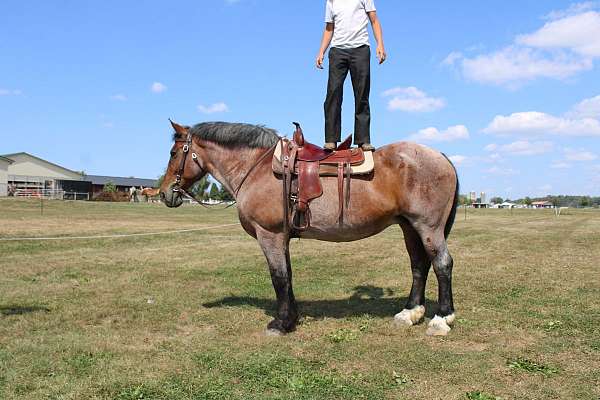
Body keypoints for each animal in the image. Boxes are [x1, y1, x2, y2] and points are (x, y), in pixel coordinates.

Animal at [159, 120, 460, 336]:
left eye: (174, 153)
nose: (164, 193)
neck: (257, 168)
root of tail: (441, 156)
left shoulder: (269, 236)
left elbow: (279, 277)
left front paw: (280, 324)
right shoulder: (282, 237)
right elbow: (288, 276)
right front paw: (291, 318)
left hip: (428, 227)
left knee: (442, 264)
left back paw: (441, 319)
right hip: (410, 227)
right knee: (418, 265)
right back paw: (409, 313)